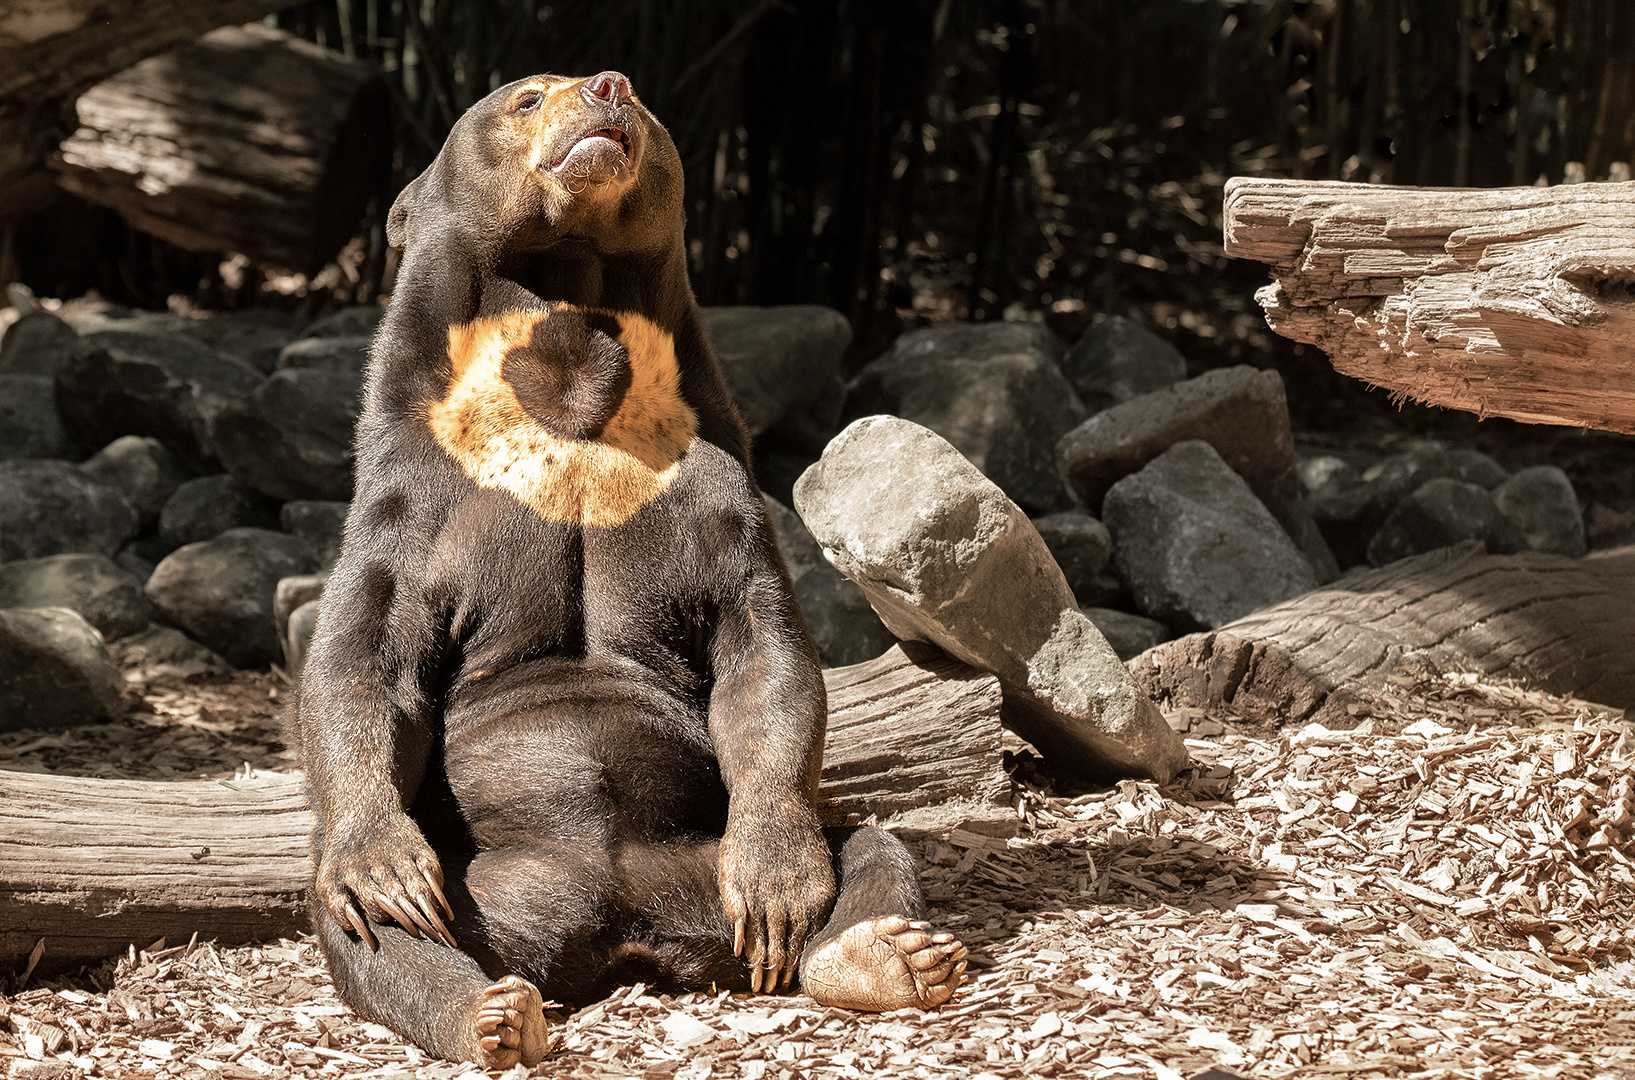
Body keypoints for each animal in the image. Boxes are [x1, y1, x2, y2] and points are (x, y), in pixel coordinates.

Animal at [286, 71, 961, 1065]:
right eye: (526, 98)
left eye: (632, 95)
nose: (608, 87)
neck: (567, 385)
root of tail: (619, 925)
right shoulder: (414, 500)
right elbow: (363, 659)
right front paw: (386, 860)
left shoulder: (711, 480)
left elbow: (763, 651)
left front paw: (781, 884)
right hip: (481, 883)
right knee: (367, 927)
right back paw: (486, 1011)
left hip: (701, 859)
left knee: (865, 845)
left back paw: (882, 955)